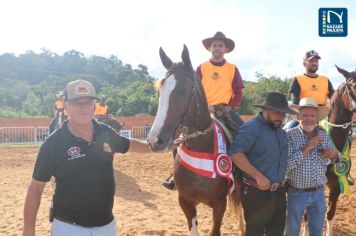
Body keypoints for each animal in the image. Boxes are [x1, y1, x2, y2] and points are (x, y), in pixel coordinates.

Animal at [146, 45, 243, 235]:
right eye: (159, 92)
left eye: (183, 91)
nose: (154, 140)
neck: (202, 149)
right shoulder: (185, 202)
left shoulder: (220, 204)